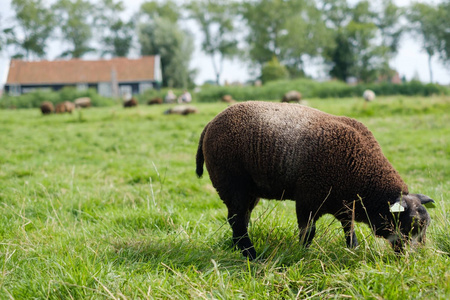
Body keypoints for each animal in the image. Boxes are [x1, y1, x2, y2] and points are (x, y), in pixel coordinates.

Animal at [197, 102, 436, 258]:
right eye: (412, 226)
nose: (420, 259)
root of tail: (210, 123)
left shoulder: (344, 205)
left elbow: (349, 230)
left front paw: (353, 250)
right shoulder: (307, 200)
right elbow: (308, 233)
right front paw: (303, 256)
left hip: (249, 191)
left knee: (241, 219)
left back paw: (238, 249)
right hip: (232, 184)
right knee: (237, 221)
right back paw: (251, 256)